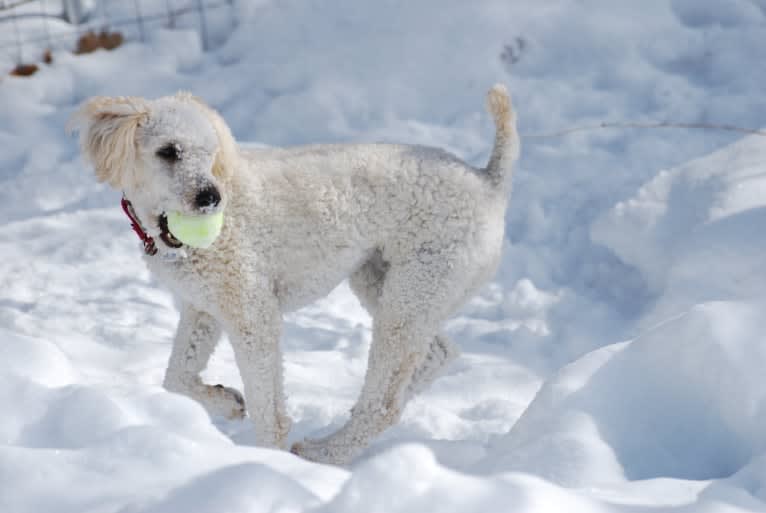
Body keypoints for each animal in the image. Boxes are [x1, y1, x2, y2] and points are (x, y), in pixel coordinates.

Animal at [70, 85, 520, 464]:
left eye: (209, 153)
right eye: (168, 151)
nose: (211, 198)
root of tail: (489, 182)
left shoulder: (252, 312)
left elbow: (268, 409)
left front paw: (269, 462)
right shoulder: (204, 308)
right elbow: (175, 379)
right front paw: (226, 401)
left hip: (416, 289)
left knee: (384, 404)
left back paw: (325, 453)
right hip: (387, 282)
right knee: (435, 355)